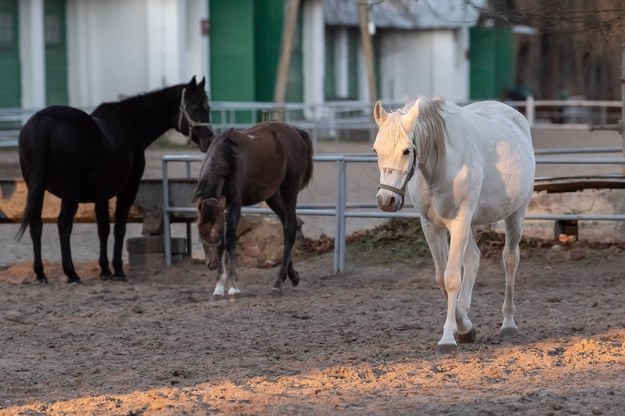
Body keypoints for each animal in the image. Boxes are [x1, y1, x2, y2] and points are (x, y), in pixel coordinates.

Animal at [16, 75, 214, 282]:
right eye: (194, 107)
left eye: (207, 107)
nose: (210, 139)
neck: (129, 125)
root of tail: (45, 121)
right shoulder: (128, 188)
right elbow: (119, 226)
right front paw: (118, 269)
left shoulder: (101, 194)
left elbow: (103, 228)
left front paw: (105, 269)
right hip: (70, 192)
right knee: (63, 223)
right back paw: (71, 273)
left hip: (36, 187)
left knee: (36, 223)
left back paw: (40, 273)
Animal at [191, 121, 312, 296]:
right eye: (200, 232)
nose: (212, 264)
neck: (228, 159)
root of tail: (295, 131)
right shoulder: (222, 209)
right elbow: (224, 242)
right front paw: (219, 287)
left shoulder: (235, 204)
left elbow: (230, 240)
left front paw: (233, 286)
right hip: (272, 195)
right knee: (287, 224)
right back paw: (292, 275)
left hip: (290, 187)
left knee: (290, 226)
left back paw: (278, 283)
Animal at [372, 98, 532, 354]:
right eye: (376, 150)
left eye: (407, 150)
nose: (386, 200)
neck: (441, 166)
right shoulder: (431, 226)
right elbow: (441, 279)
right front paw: (465, 328)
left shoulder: (459, 222)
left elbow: (451, 278)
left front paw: (448, 338)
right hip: (471, 224)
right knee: (473, 258)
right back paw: (465, 316)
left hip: (515, 213)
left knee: (510, 259)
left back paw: (508, 323)